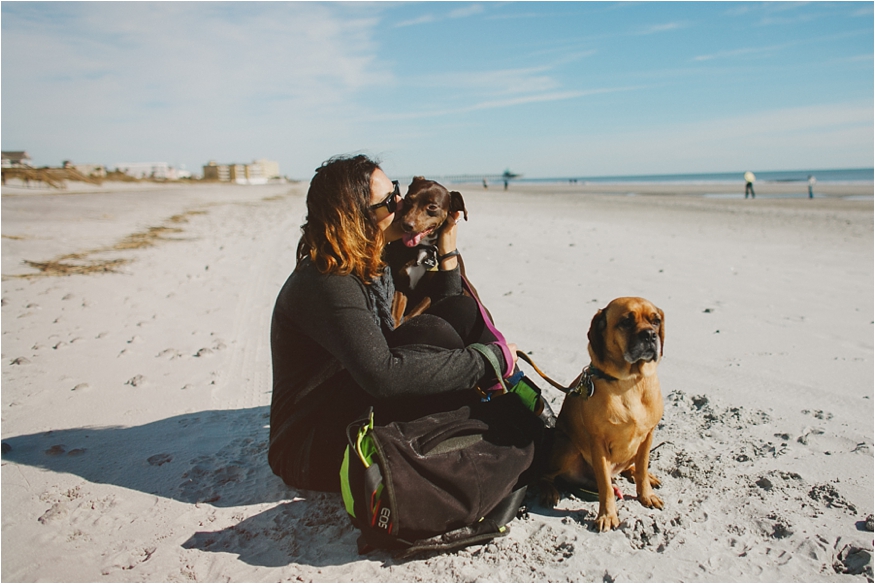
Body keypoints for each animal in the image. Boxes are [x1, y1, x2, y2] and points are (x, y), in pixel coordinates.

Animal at [540, 298, 664, 532]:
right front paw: (607, 515)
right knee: (546, 475)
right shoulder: (598, 443)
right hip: (567, 447)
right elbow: (605, 485)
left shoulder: (647, 436)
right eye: (626, 322)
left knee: (632, 467)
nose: (650, 335)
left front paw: (646, 494)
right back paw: (549, 491)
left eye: (656, 321)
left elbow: (642, 469)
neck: (629, 382)